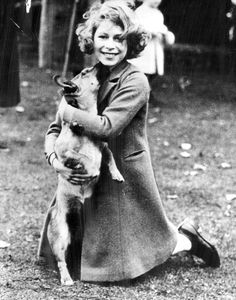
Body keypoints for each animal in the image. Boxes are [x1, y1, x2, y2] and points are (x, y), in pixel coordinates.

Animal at [46, 68, 123, 286]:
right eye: (85, 72)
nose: (98, 64)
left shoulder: (104, 148)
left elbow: (110, 158)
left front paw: (116, 174)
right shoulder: (64, 153)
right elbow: (83, 157)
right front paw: (92, 170)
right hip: (60, 236)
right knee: (61, 261)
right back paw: (66, 278)